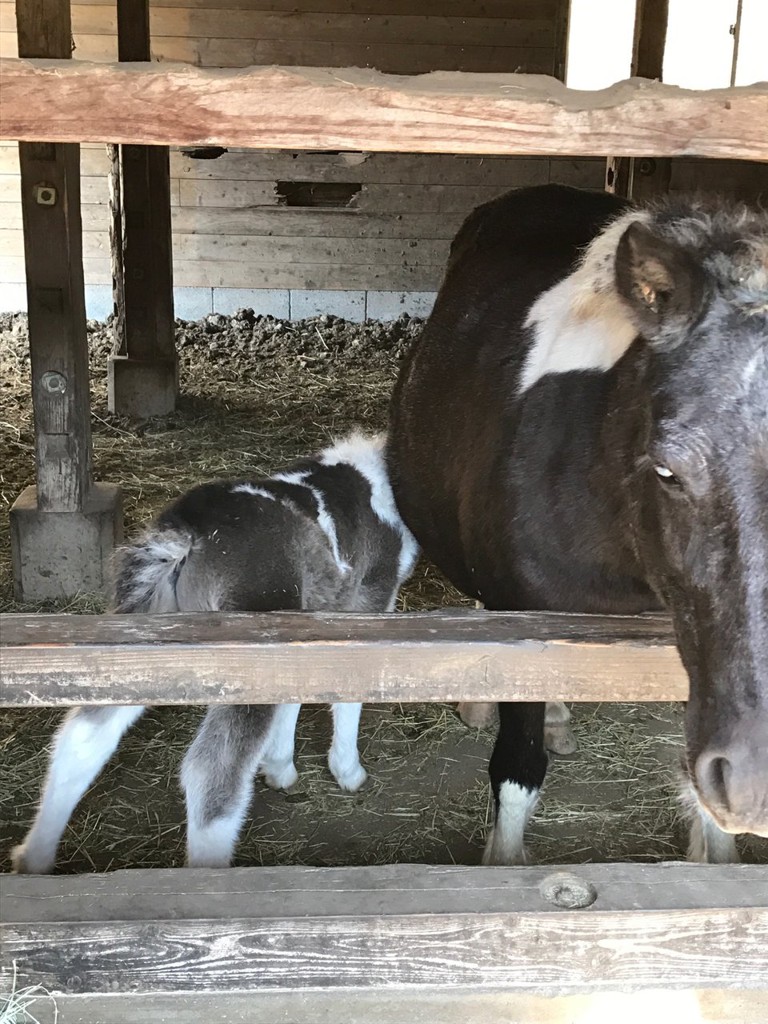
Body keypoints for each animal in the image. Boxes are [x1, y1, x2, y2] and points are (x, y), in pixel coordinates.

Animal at [12, 432, 417, 872]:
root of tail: (188, 533)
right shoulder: (370, 598)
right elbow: (350, 691)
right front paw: (348, 771)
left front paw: (280, 768)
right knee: (211, 772)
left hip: (144, 630)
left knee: (84, 737)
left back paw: (33, 859)